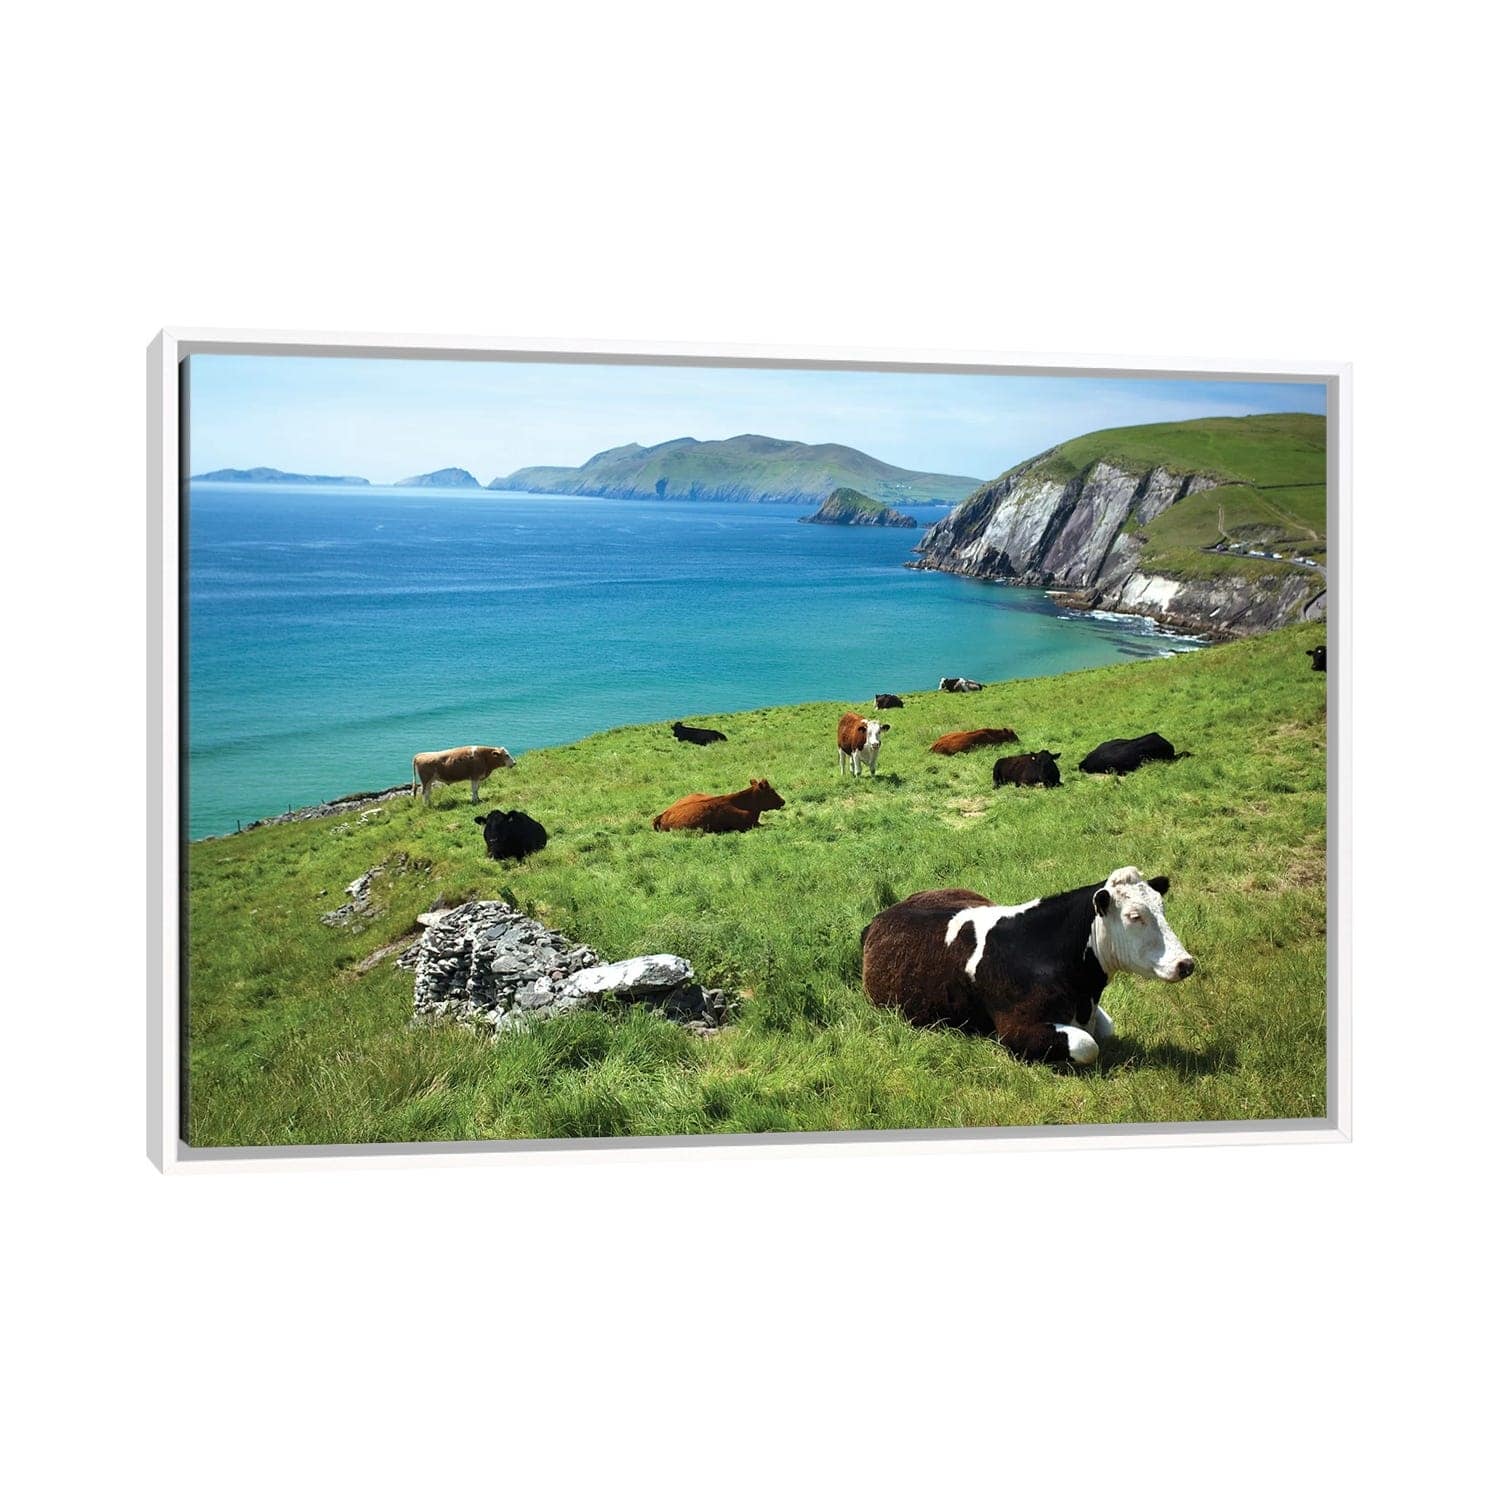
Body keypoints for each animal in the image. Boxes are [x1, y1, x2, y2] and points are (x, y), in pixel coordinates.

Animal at [861, 867, 1196, 1065]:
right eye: (1134, 916)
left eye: (1162, 907)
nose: (1185, 963)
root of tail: (885, 912)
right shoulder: (1014, 1030)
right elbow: (1088, 1045)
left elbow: (1106, 1030)